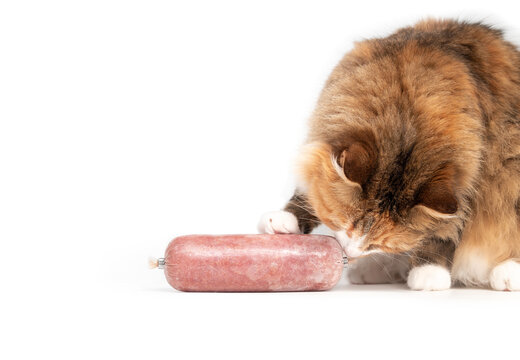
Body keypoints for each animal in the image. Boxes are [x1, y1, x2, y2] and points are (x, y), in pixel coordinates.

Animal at [256, 19, 520, 290]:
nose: (350, 253)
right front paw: (284, 219)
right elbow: (310, 183)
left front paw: (429, 272)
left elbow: (444, 232)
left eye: (377, 244)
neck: (406, 121)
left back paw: (507, 273)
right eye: (343, 223)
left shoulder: (470, 178)